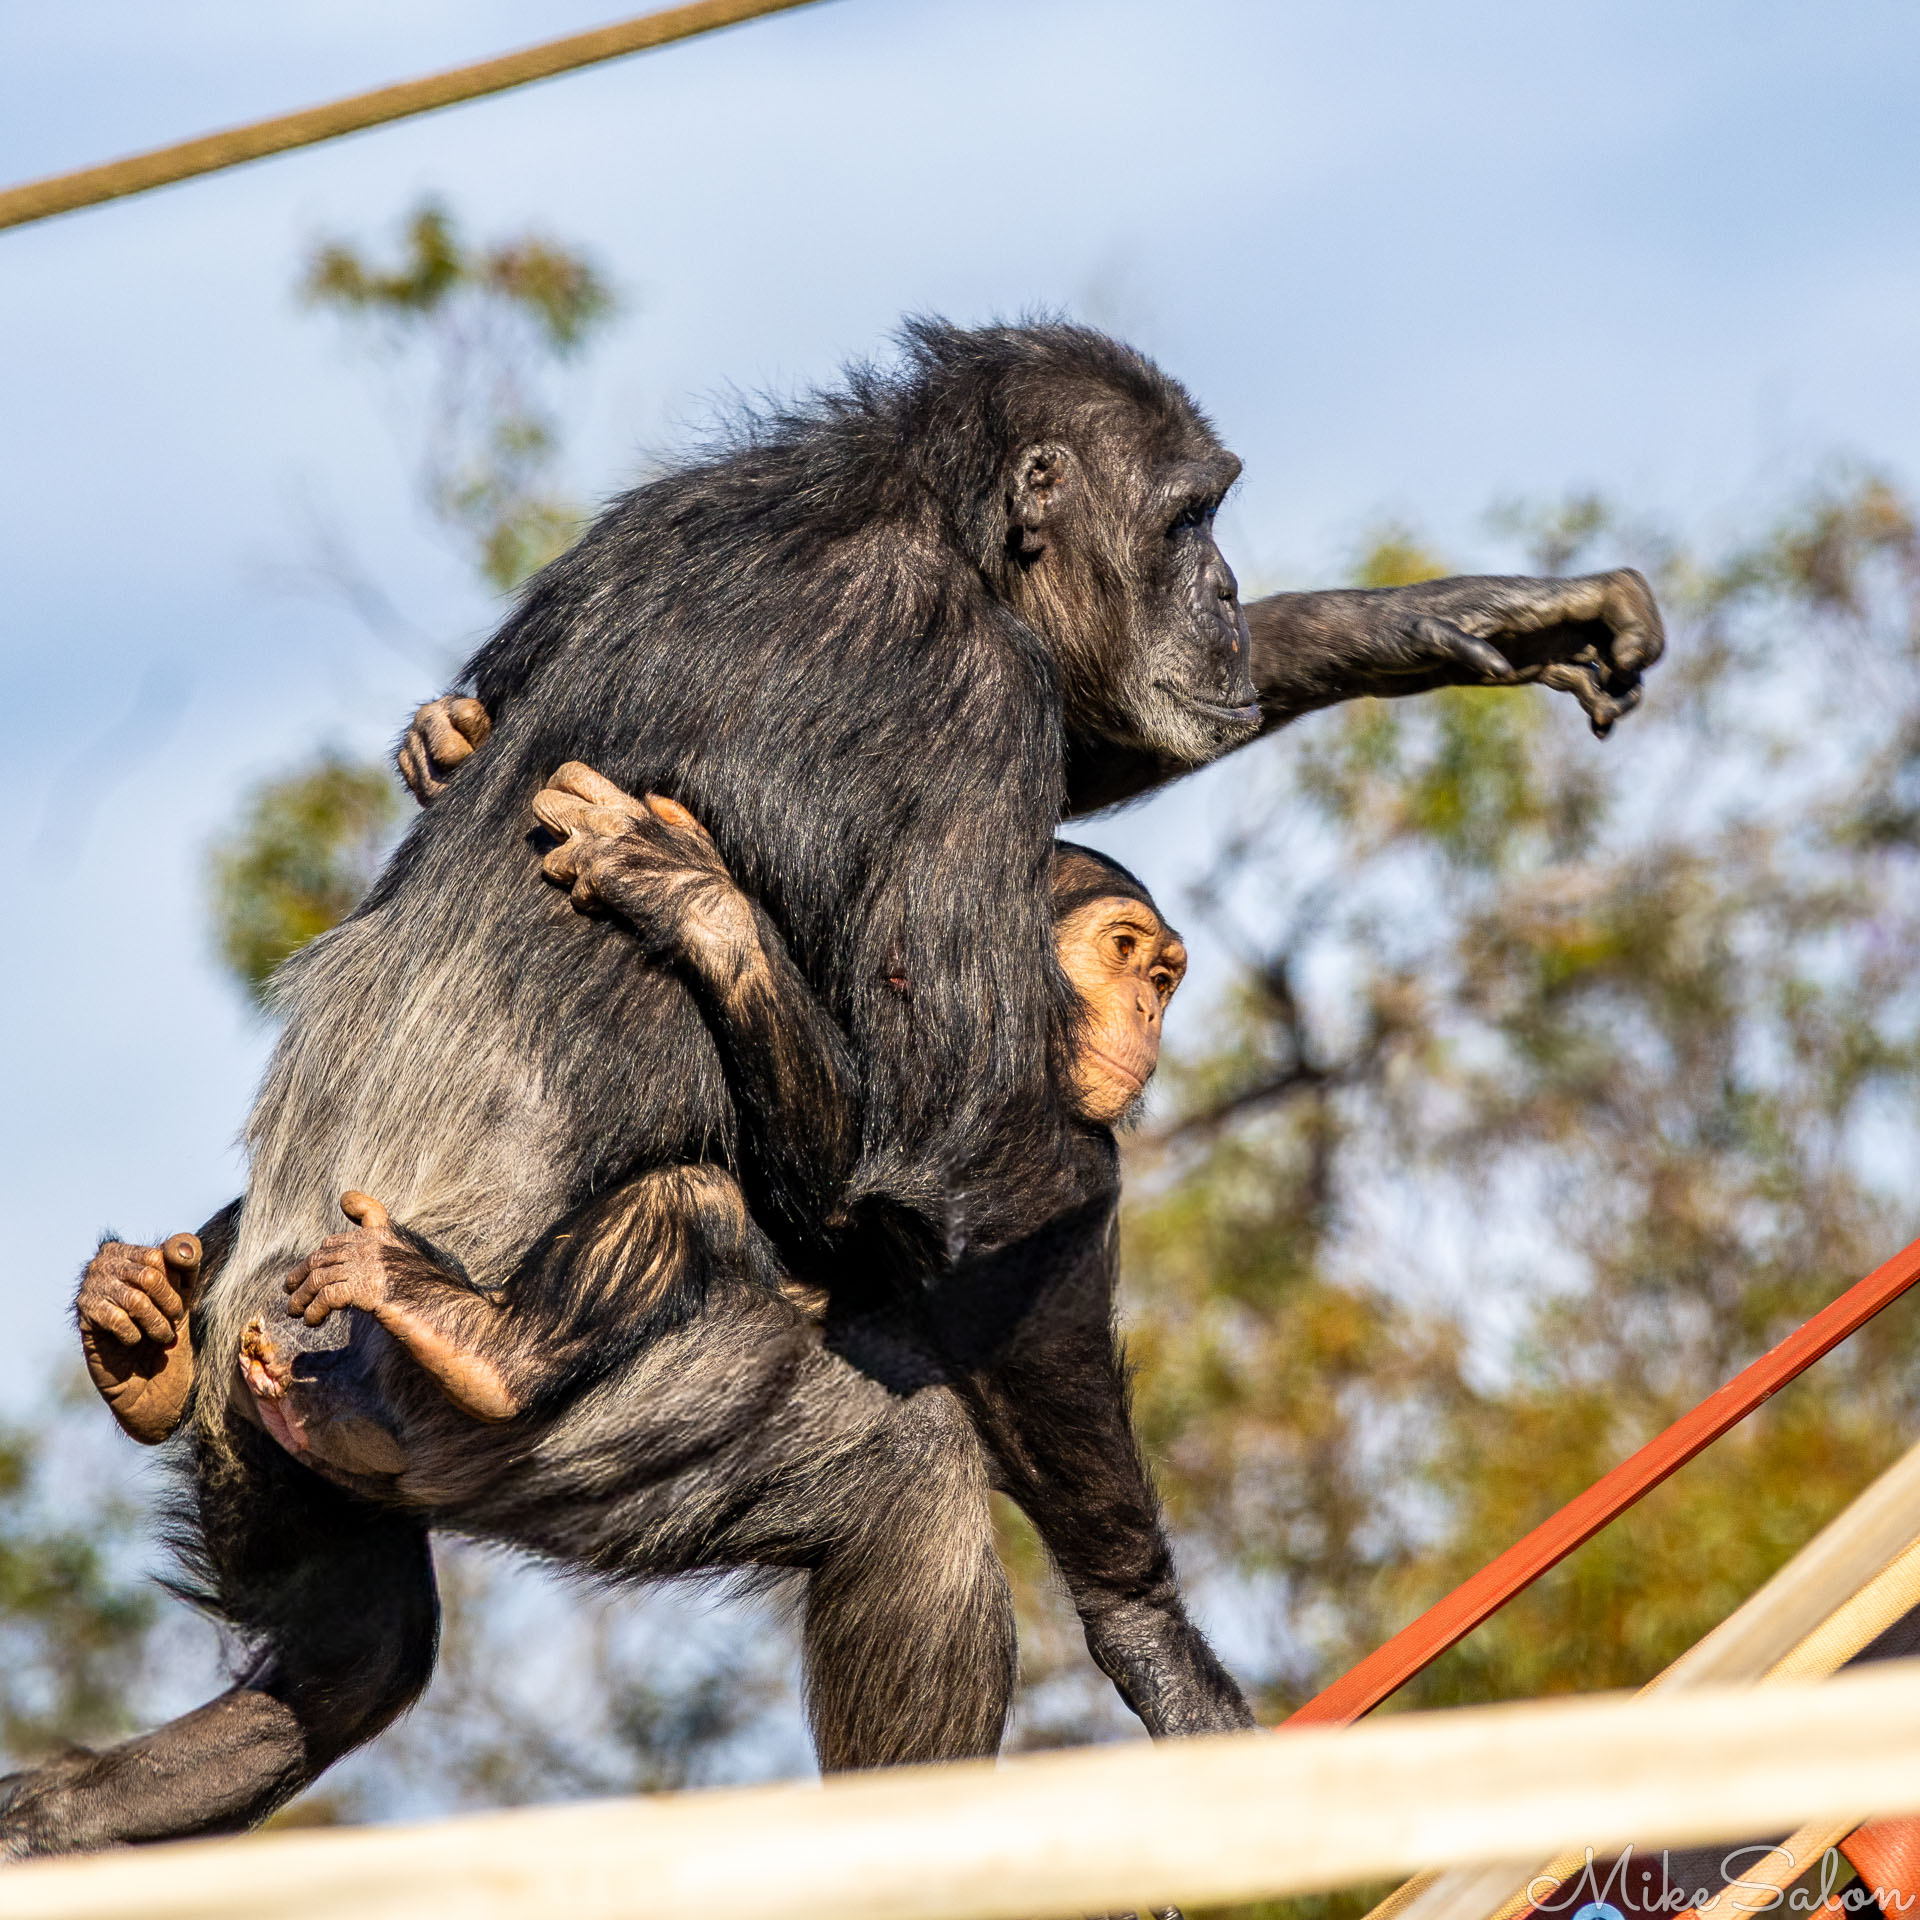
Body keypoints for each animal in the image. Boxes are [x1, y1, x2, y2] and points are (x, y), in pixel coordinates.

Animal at [12, 322, 1663, 1855]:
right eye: (1188, 518)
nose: (1225, 592)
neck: (923, 516)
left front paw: (1472, 619)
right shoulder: (973, 695)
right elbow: (961, 1161)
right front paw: (1151, 1630)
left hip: (280, 1440)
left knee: (353, 1646)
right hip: (490, 1419)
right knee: (899, 1485)